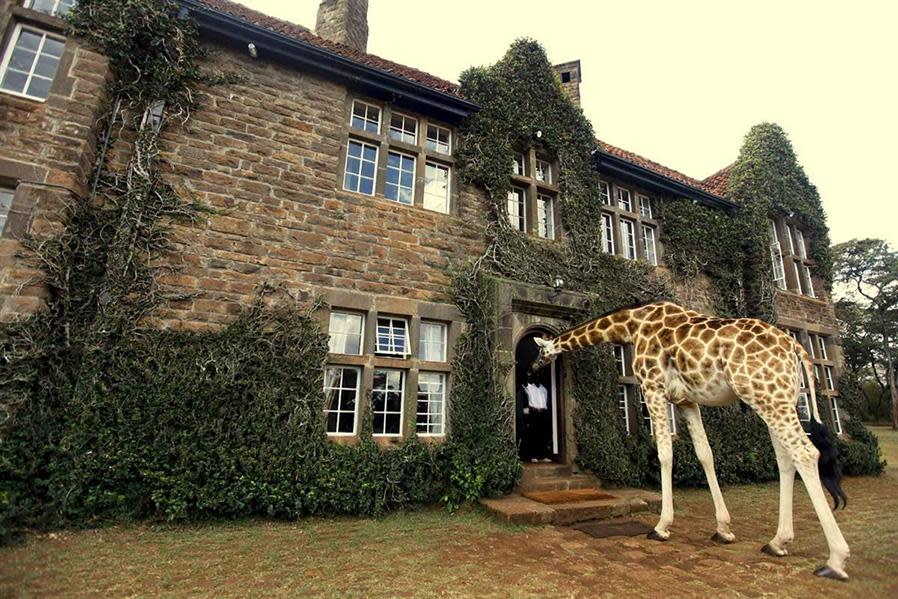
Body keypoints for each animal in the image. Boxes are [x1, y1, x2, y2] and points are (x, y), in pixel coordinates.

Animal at [528, 300, 852, 580]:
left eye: (541, 352)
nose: (532, 368)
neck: (632, 324)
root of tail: (797, 347)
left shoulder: (653, 388)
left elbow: (665, 454)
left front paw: (661, 527)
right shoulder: (686, 400)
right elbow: (705, 454)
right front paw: (723, 529)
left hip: (767, 395)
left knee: (805, 453)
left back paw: (835, 560)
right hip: (776, 397)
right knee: (785, 459)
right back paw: (778, 542)